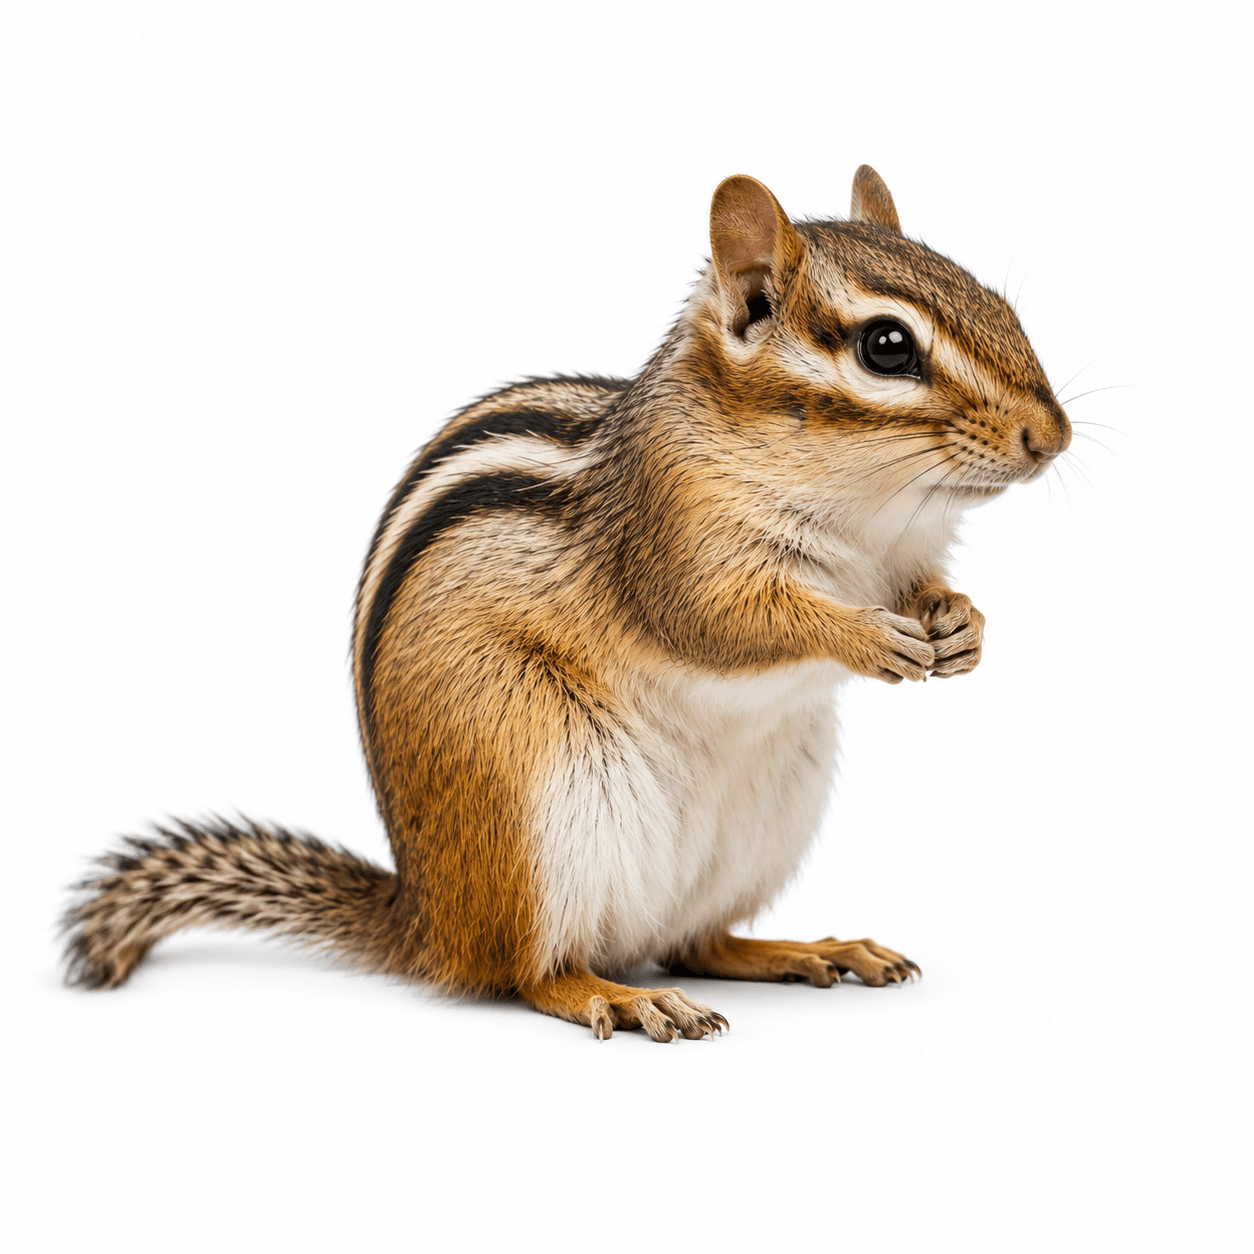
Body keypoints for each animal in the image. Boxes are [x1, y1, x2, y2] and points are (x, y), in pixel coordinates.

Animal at [64, 166, 1070, 1042]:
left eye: (998, 302)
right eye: (887, 346)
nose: (1053, 436)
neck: (869, 519)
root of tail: (426, 919)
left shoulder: (907, 556)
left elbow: (930, 591)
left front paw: (965, 627)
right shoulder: (672, 548)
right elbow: (730, 620)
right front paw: (864, 637)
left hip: (772, 808)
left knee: (696, 942)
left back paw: (805, 949)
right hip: (533, 796)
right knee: (530, 972)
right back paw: (619, 995)